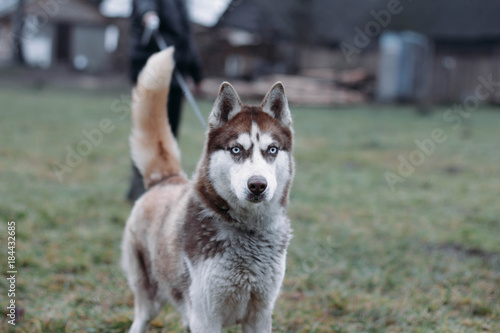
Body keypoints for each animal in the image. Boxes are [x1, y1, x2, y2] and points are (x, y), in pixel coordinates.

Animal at [121, 47, 292, 332]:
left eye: (272, 150)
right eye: (236, 149)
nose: (258, 185)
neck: (248, 230)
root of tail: (167, 178)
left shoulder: (260, 313)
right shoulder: (206, 317)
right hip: (151, 298)